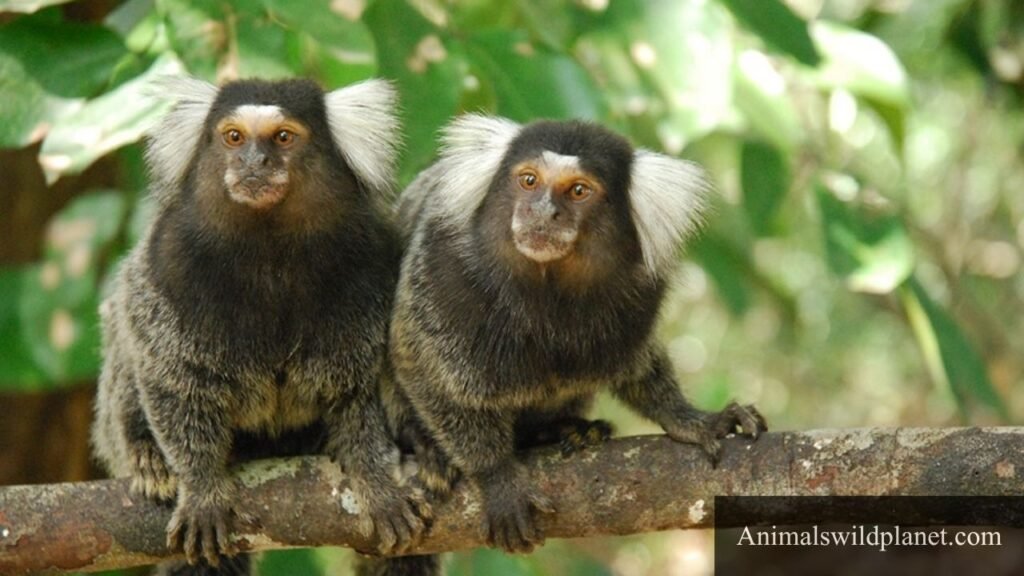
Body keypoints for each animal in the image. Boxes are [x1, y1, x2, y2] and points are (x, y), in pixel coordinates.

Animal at [90, 76, 428, 574]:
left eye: (283, 137)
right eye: (234, 137)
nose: (254, 162)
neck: (268, 252)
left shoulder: (373, 267)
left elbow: (361, 391)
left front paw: (376, 481)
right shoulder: (166, 266)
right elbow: (172, 380)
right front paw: (201, 488)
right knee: (122, 333)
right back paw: (146, 456)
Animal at [387, 115, 767, 555]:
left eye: (579, 190)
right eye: (529, 181)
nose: (543, 212)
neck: (546, 286)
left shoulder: (639, 292)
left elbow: (639, 365)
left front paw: (690, 419)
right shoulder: (439, 265)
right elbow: (418, 362)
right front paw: (497, 475)